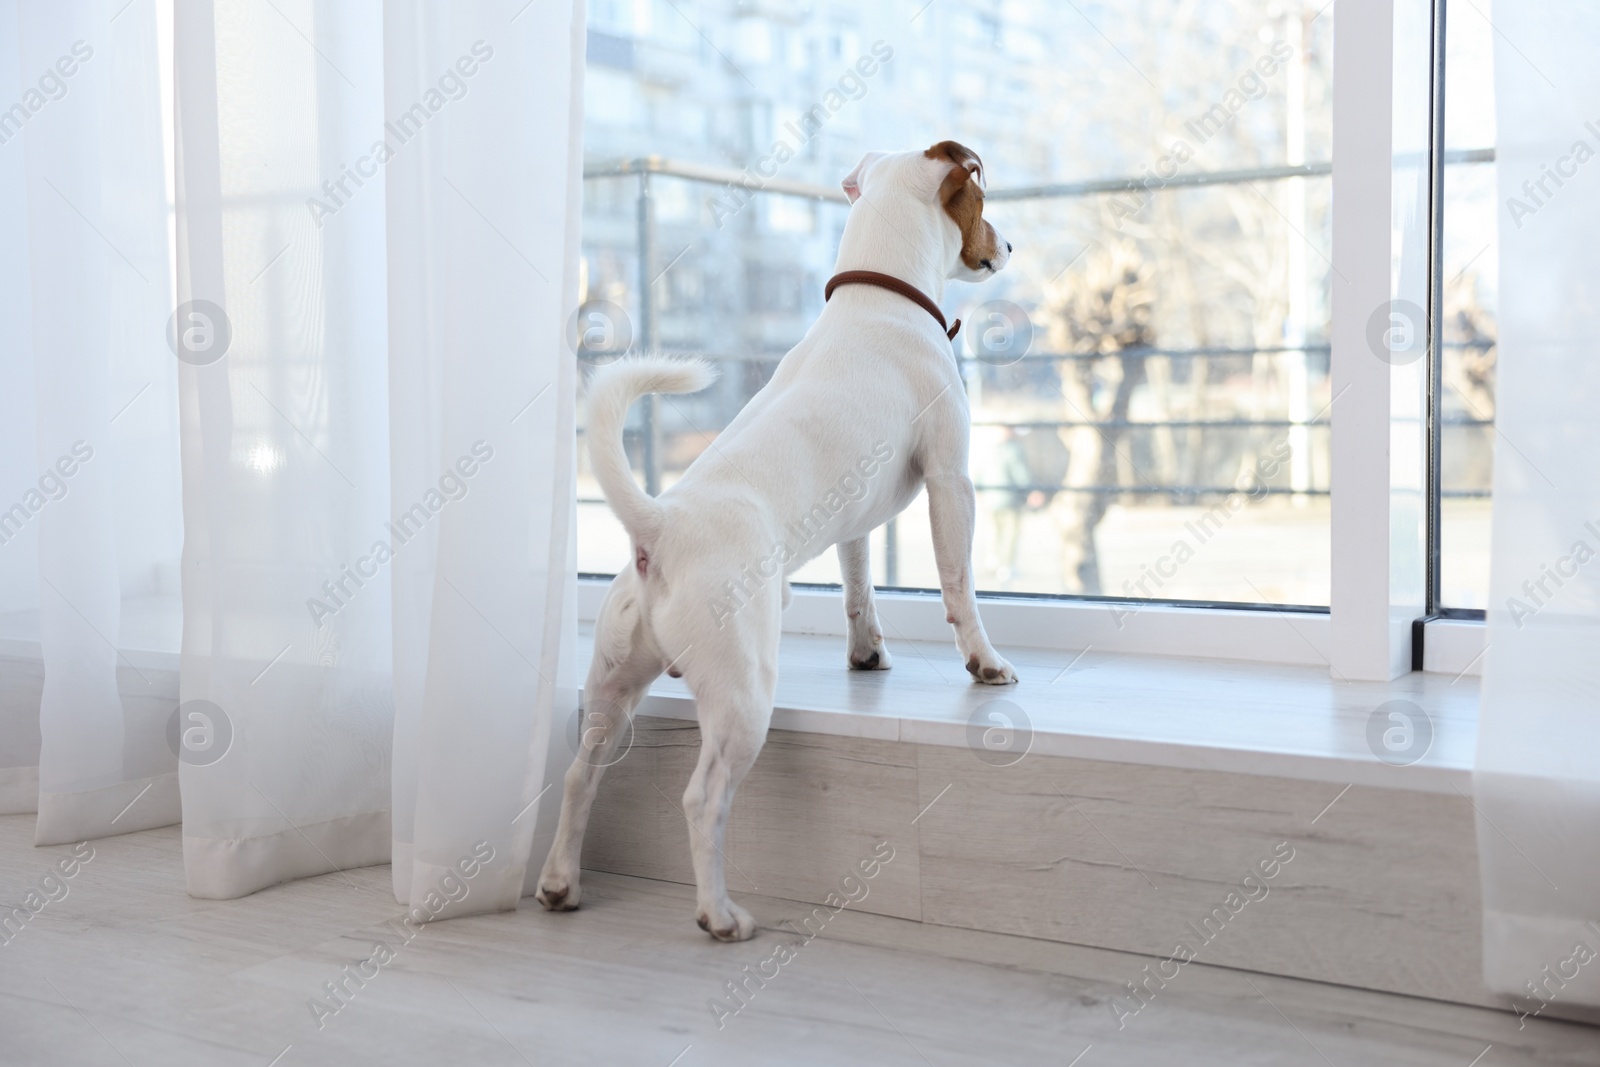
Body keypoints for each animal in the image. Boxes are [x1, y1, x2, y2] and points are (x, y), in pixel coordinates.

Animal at [534, 141, 1011, 940]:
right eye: (982, 203)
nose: (1009, 248)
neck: (879, 295)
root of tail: (660, 529)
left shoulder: (856, 521)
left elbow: (858, 590)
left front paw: (866, 654)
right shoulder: (951, 479)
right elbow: (959, 585)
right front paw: (986, 663)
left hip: (610, 689)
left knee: (579, 775)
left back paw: (561, 882)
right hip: (744, 695)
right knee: (703, 799)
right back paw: (719, 914)